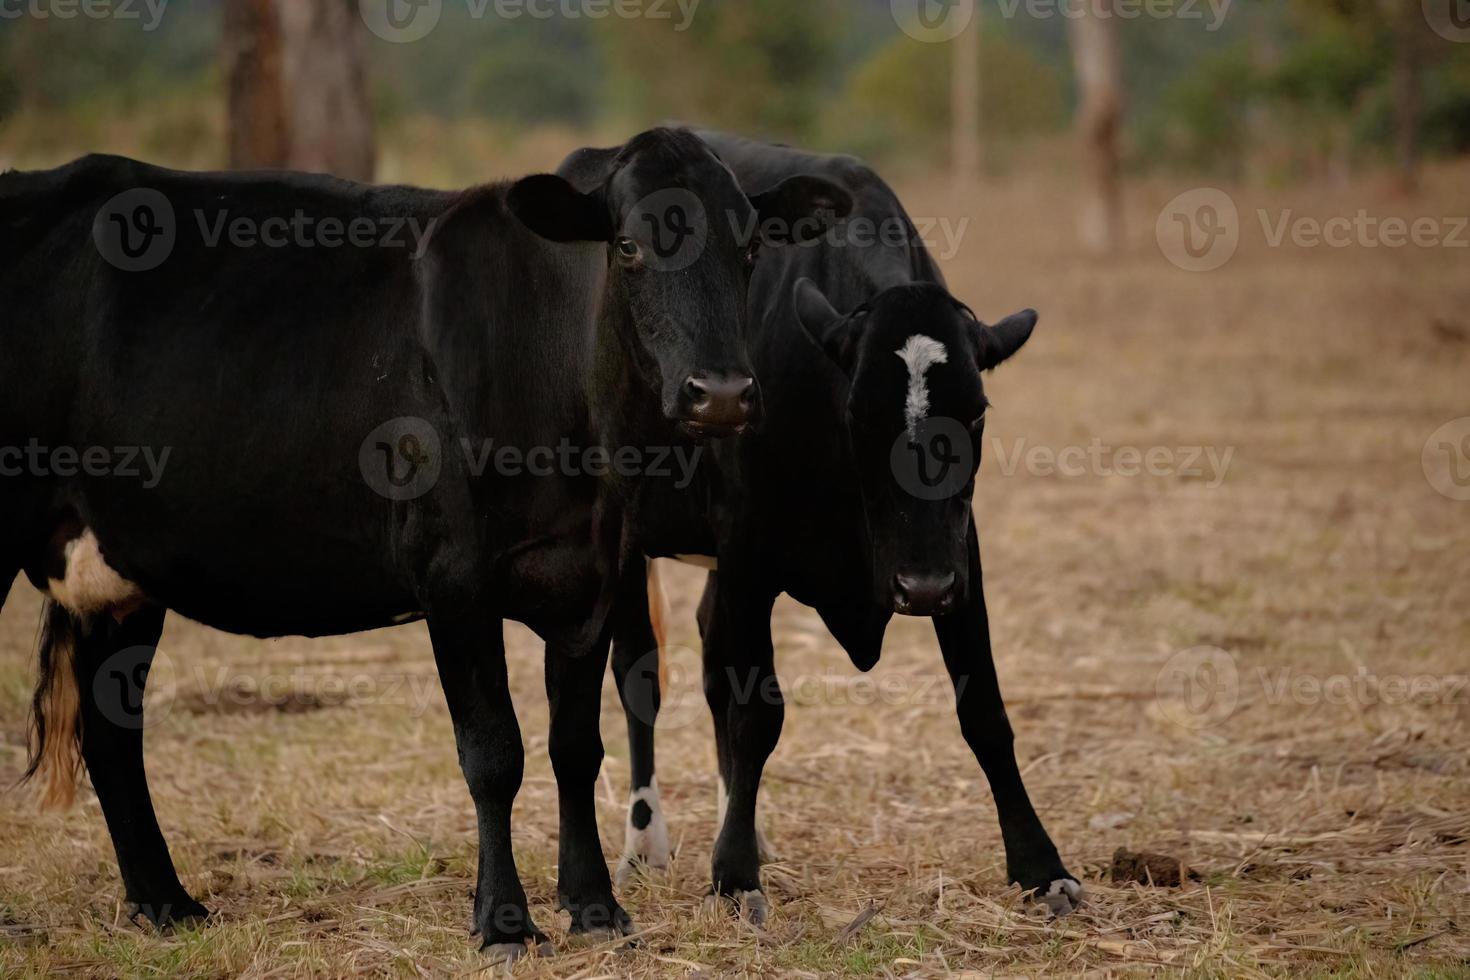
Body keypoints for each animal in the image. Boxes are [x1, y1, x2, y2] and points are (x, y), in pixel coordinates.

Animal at [0, 126, 852, 963]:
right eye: (629, 246)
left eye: (750, 246)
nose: (722, 395)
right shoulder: (453, 579)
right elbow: (494, 753)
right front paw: (505, 922)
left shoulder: (594, 578)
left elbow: (576, 747)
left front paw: (595, 906)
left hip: (119, 571)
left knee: (113, 734)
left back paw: (168, 904)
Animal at [599, 134, 1081, 922]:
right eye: (859, 413)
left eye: (977, 413)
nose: (920, 587)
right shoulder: (749, 558)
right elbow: (756, 713)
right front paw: (733, 874)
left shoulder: (960, 558)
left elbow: (984, 709)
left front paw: (1043, 865)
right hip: (633, 545)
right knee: (642, 673)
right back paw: (646, 843)